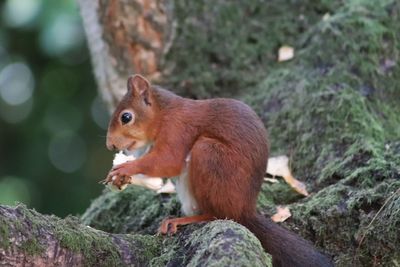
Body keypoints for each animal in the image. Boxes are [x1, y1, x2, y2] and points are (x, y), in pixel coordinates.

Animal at [104, 74, 332, 266]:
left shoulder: (177, 130)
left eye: (126, 117)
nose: (110, 146)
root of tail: (244, 210)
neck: (163, 113)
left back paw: (185, 219)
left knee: (217, 214)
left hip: (209, 155)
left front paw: (124, 168)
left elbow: (169, 161)